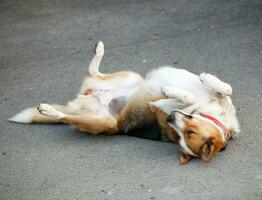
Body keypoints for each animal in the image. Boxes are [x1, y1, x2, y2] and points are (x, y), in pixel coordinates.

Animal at [9, 41, 239, 165]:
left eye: (188, 134)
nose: (170, 117)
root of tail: (81, 101)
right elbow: (226, 88)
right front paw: (207, 79)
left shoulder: (163, 107)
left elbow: (190, 98)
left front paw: (170, 91)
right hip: (132, 76)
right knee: (93, 72)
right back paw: (99, 49)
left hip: (102, 123)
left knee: (67, 117)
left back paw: (49, 110)